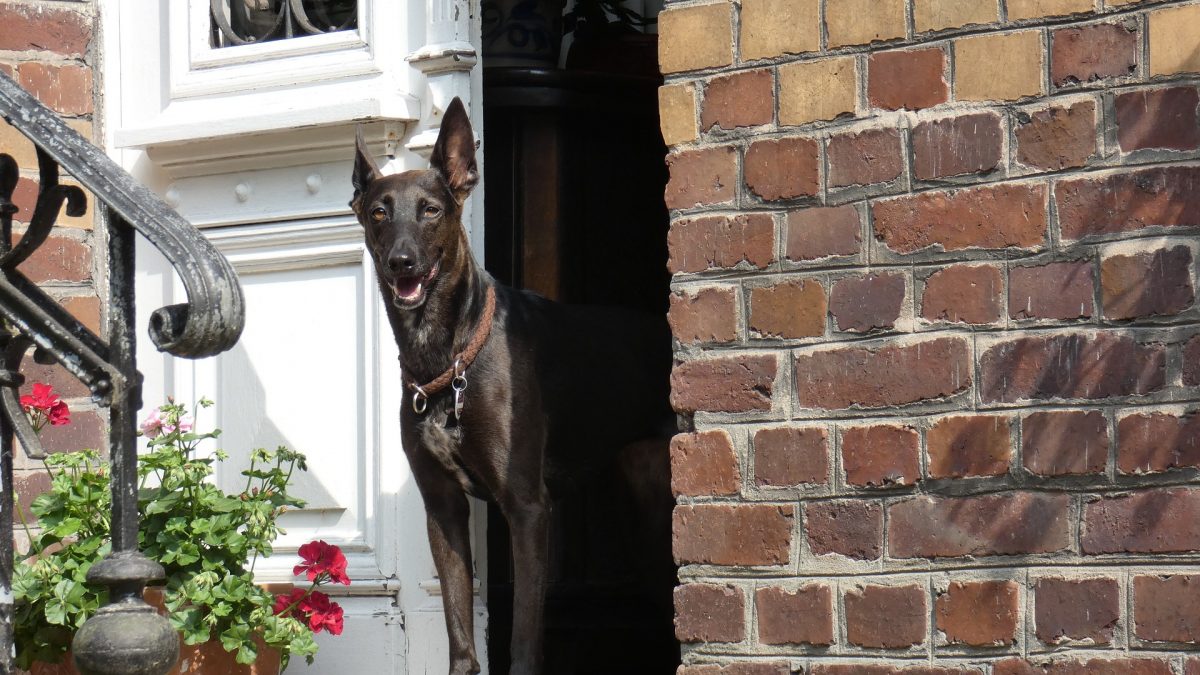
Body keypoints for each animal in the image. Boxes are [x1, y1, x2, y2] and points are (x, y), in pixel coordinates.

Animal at [352, 97, 676, 667]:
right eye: (378, 213)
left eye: (431, 210)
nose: (401, 263)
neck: (448, 358)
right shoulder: (443, 507)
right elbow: (460, 634)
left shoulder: (527, 510)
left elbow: (524, 639)